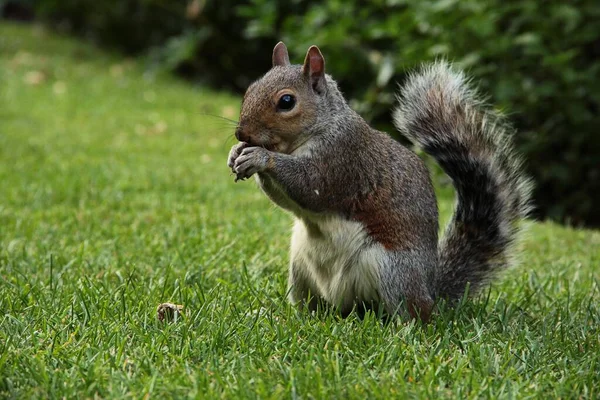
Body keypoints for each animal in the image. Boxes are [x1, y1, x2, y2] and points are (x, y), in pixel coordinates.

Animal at [227, 41, 532, 322]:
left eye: (287, 102)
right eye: (250, 89)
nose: (242, 134)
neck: (322, 126)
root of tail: (432, 294)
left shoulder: (341, 160)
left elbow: (310, 187)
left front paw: (260, 157)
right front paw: (236, 153)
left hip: (394, 271)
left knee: (413, 314)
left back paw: (402, 329)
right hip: (300, 270)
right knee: (313, 307)